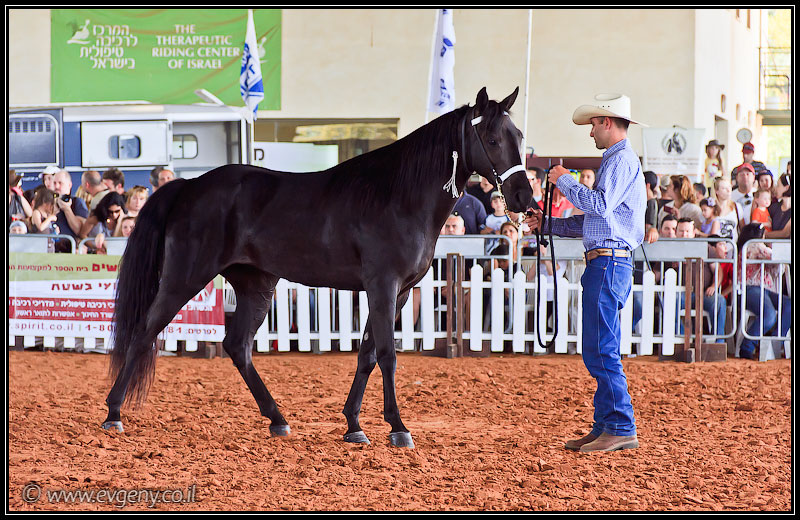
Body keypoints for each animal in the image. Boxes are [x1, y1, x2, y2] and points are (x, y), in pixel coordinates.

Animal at [103, 87, 533, 448]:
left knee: (237, 346)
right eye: (492, 139)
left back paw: (277, 419)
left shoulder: (398, 292)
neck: (398, 194)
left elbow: (367, 354)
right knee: (144, 332)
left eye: (519, 137)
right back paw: (113, 413)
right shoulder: (382, 286)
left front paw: (354, 426)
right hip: (184, 277)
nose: (523, 197)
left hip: (257, 284)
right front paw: (398, 427)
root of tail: (188, 188)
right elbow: (388, 354)